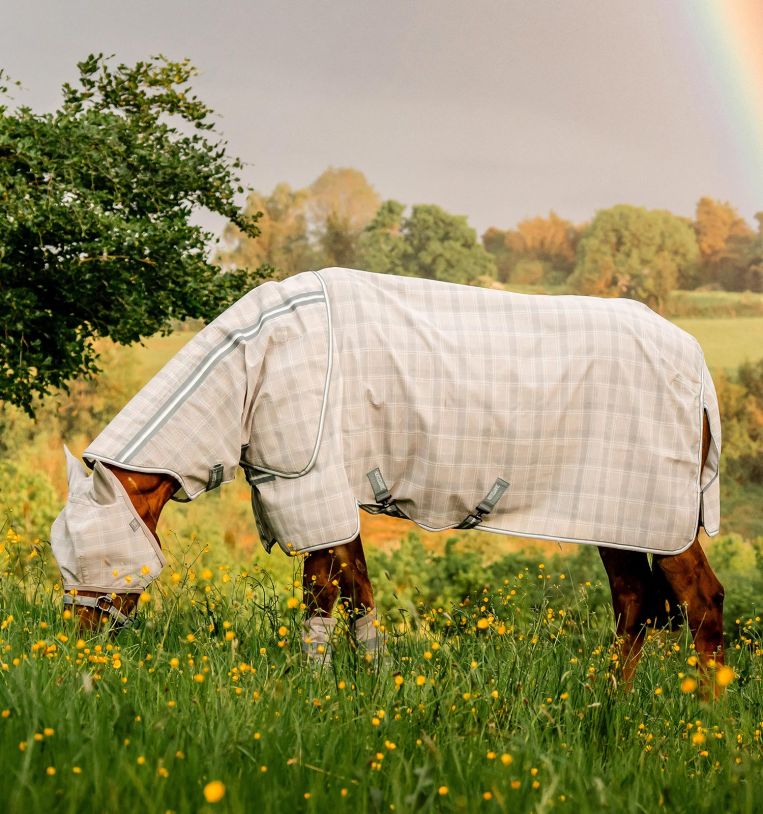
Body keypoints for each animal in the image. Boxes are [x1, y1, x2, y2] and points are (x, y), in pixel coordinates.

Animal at [51, 267, 724, 682]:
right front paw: (373, 686)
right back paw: (605, 706)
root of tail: (698, 367)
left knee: (701, 601)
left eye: (90, 553)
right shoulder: (336, 496)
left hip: (660, 518)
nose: (76, 646)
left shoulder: (311, 486)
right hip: (623, 520)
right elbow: (359, 595)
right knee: (635, 605)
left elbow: (321, 595)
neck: (256, 365)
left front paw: (313, 688)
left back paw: (704, 727)